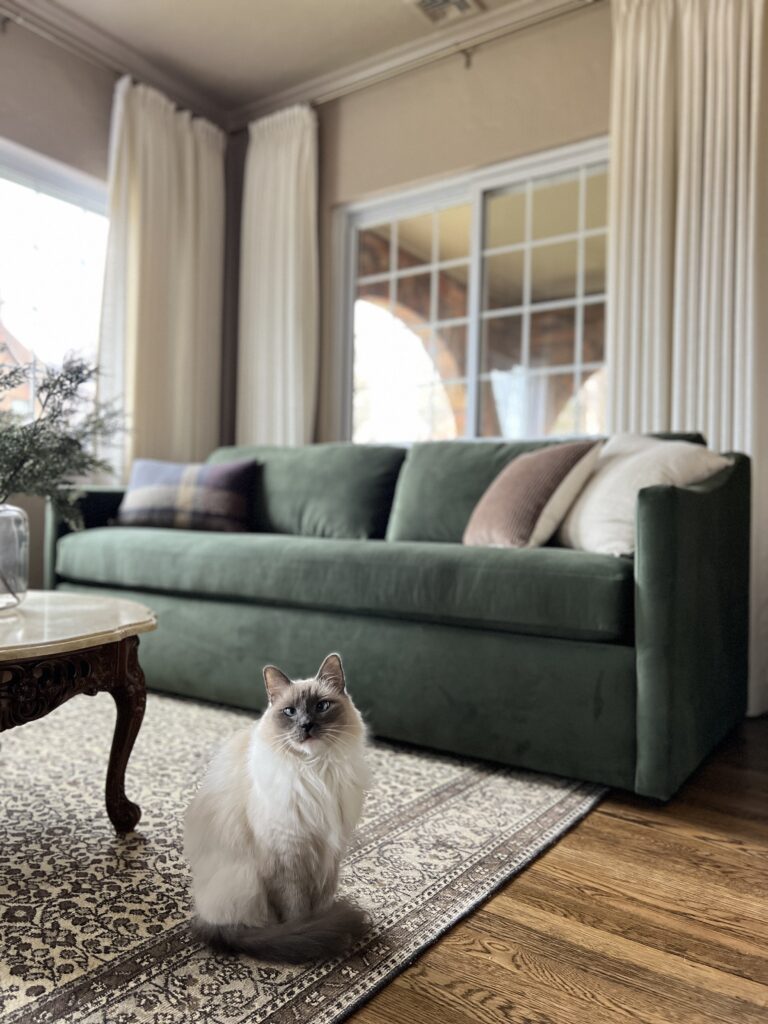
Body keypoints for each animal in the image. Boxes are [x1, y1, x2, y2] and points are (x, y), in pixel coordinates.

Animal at [183, 655, 370, 958]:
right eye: (290, 712)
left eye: (322, 706)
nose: (306, 725)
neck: (317, 772)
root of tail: (203, 914)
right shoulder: (288, 856)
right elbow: (297, 914)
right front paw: (311, 933)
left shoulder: (330, 852)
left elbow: (322, 905)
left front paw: (325, 924)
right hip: (246, 881)